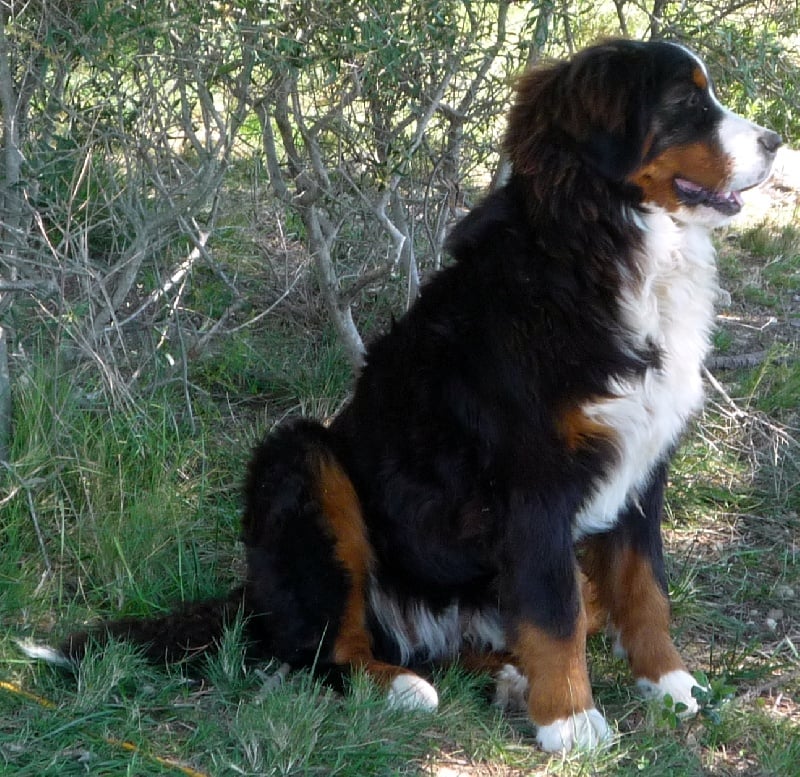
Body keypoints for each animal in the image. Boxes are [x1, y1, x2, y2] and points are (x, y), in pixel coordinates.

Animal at [28, 39, 780, 748]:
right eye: (686, 104)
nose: (775, 140)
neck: (603, 248)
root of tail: (253, 597)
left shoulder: (643, 464)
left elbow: (643, 589)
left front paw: (672, 684)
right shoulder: (534, 482)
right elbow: (553, 610)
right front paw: (572, 722)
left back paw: (506, 677)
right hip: (303, 458)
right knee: (323, 648)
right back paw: (399, 687)